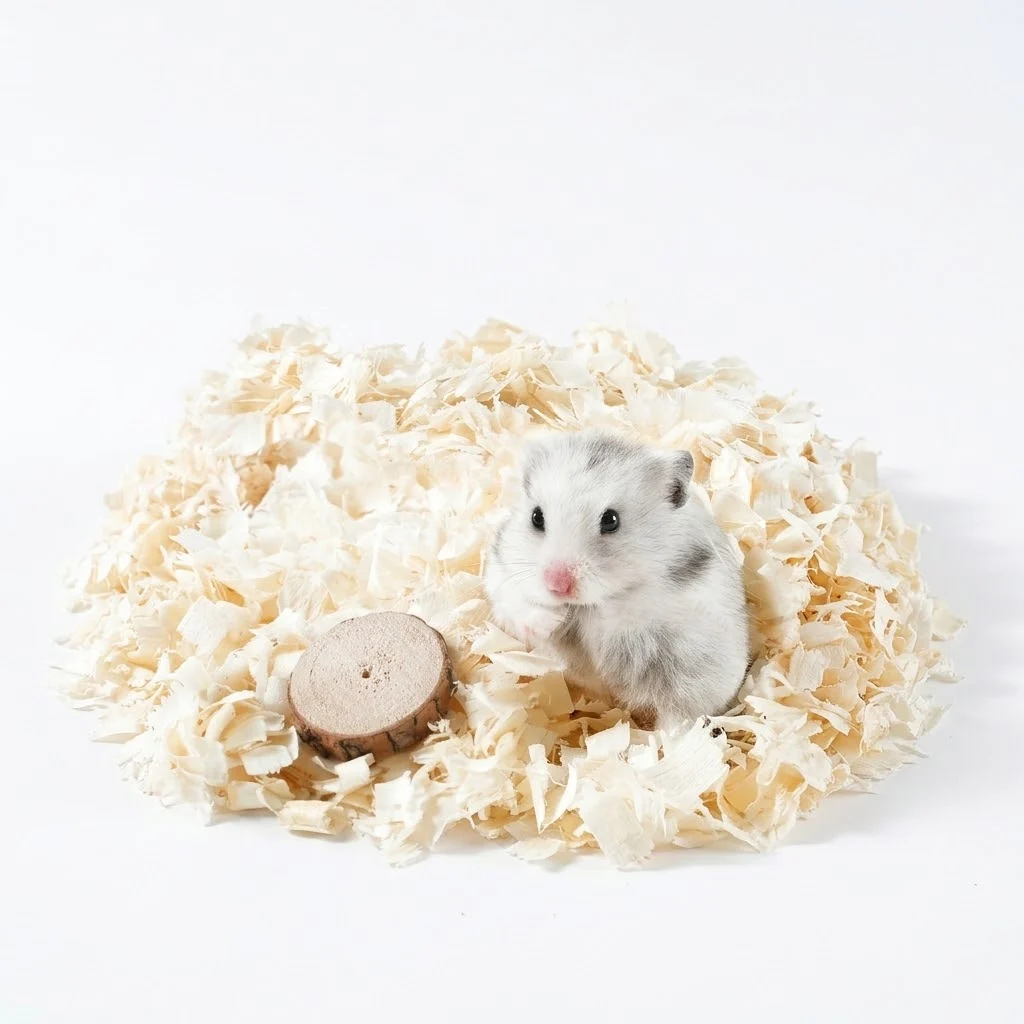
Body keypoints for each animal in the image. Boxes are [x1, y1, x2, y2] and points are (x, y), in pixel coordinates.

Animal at [484, 428, 750, 730]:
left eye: (611, 520)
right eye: (536, 517)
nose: (557, 585)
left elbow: (618, 621)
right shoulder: (501, 572)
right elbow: (517, 606)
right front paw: (552, 623)